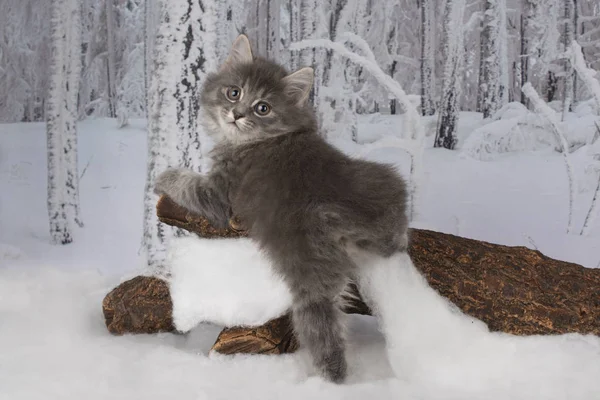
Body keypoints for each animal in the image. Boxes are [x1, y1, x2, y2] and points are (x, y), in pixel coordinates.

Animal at [155, 36, 408, 382]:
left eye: (263, 108)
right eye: (234, 92)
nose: (236, 114)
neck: (259, 141)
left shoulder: (219, 196)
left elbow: (187, 182)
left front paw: (163, 177)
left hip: (308, 269)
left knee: (322, 323)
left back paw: (333, 376)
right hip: (384, 179)